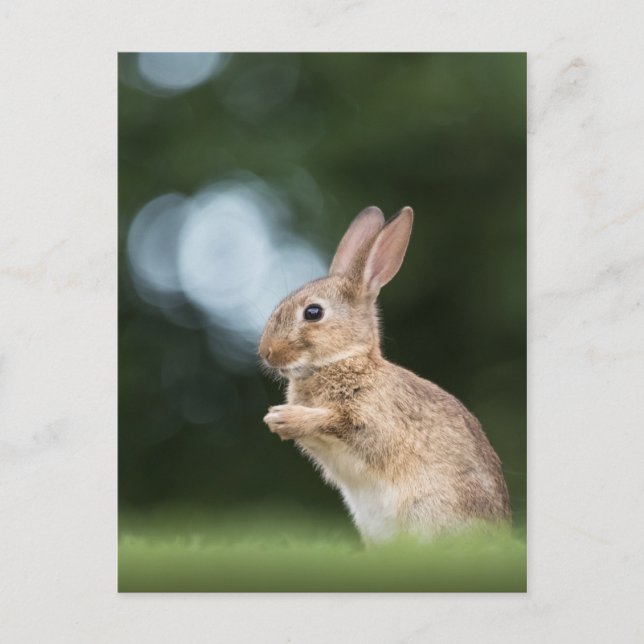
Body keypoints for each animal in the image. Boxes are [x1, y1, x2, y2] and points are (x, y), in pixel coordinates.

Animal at [259, 206, 511, 544]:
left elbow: (339, 422)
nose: (266, 352)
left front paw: (284, 418)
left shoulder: (372, 419)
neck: (344, 359)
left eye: (313, 312)